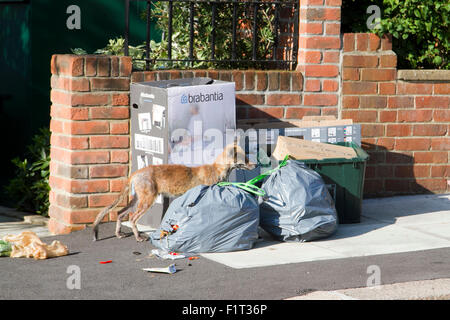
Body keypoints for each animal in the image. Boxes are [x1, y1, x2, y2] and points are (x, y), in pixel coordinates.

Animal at [92, 144, 255, 241]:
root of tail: (136, 172)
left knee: (119, 213)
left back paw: (119, 234)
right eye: (245, 159)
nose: (255, 165)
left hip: (137, 201)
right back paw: (138, 237)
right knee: (132, 219)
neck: (217, 171)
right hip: (147, 202)